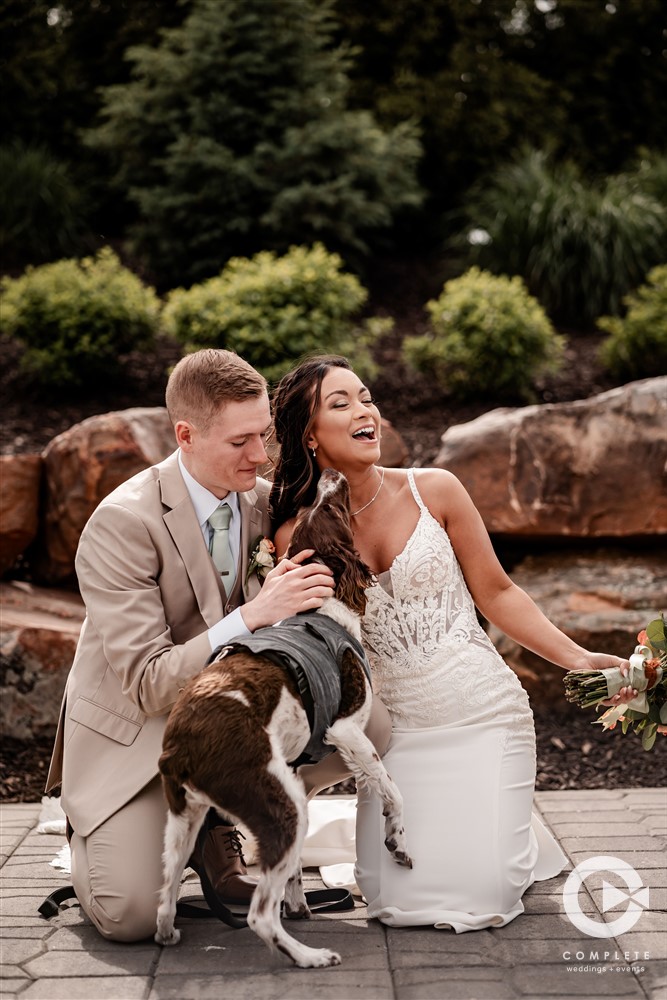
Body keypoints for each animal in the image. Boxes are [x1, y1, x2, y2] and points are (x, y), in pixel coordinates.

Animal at [155, 468, 412, 968]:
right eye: (331, 508)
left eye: (315, 506)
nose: (330, 474)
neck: (315, 609)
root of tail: (181, 747)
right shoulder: (346, 727)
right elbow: (392, 789)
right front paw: (397, 843)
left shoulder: (296, 763)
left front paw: (298, 902)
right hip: (279, 804)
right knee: (258, 915)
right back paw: (308, 956)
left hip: (186, 819)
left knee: (166, 886)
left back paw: (168, 932)